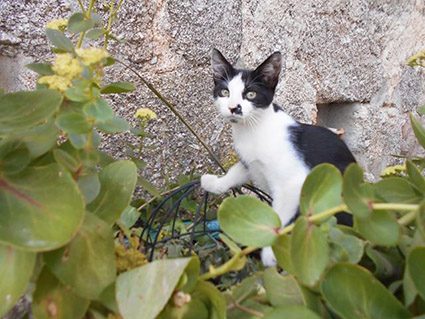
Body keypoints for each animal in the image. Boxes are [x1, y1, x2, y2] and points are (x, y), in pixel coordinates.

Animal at [201, 48, 354, 266]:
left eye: (251, 94)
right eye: (224, 92)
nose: (233, 107)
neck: (253, 129)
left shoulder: (293, 184)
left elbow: (279, 217)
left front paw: (269, 253)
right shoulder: (251, 163)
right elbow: (235, 172)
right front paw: (214, 182)